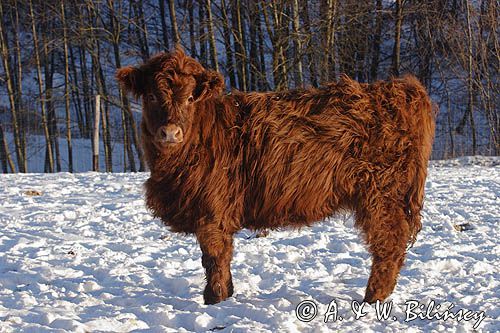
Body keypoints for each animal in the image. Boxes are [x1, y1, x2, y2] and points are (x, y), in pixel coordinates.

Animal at [116, 46, 434, 304]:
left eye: (191, 97)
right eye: (152, 96)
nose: (170, 132)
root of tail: (400, 89)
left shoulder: (211, 213)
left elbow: (214, 258)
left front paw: (214, 301)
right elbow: (224, 257)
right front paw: (227, 295)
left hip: (382, 195)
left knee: (389, 244)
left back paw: (372, 298)